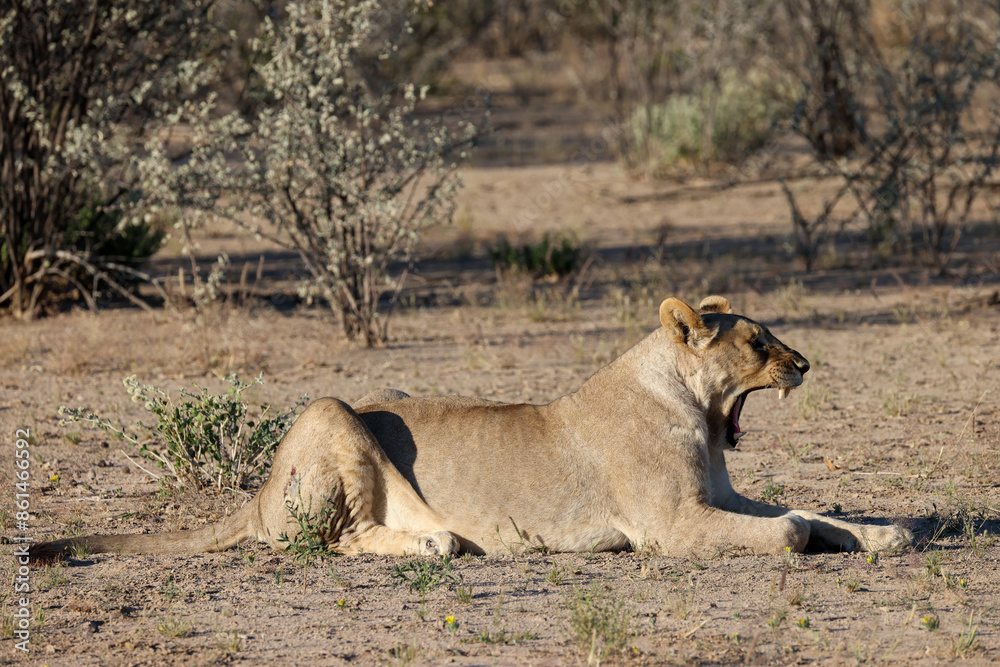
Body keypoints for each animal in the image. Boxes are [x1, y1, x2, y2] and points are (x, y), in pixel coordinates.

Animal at [31, 296, 912, 561]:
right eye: (758, 342)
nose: (804, 362)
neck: (692, 404)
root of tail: (254, 493)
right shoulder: (669, 524)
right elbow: (791, 525)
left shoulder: (720, 496)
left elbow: (813, 508)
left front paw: (892, 530)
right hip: (331, 410)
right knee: (335, 539)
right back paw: (435, 541)